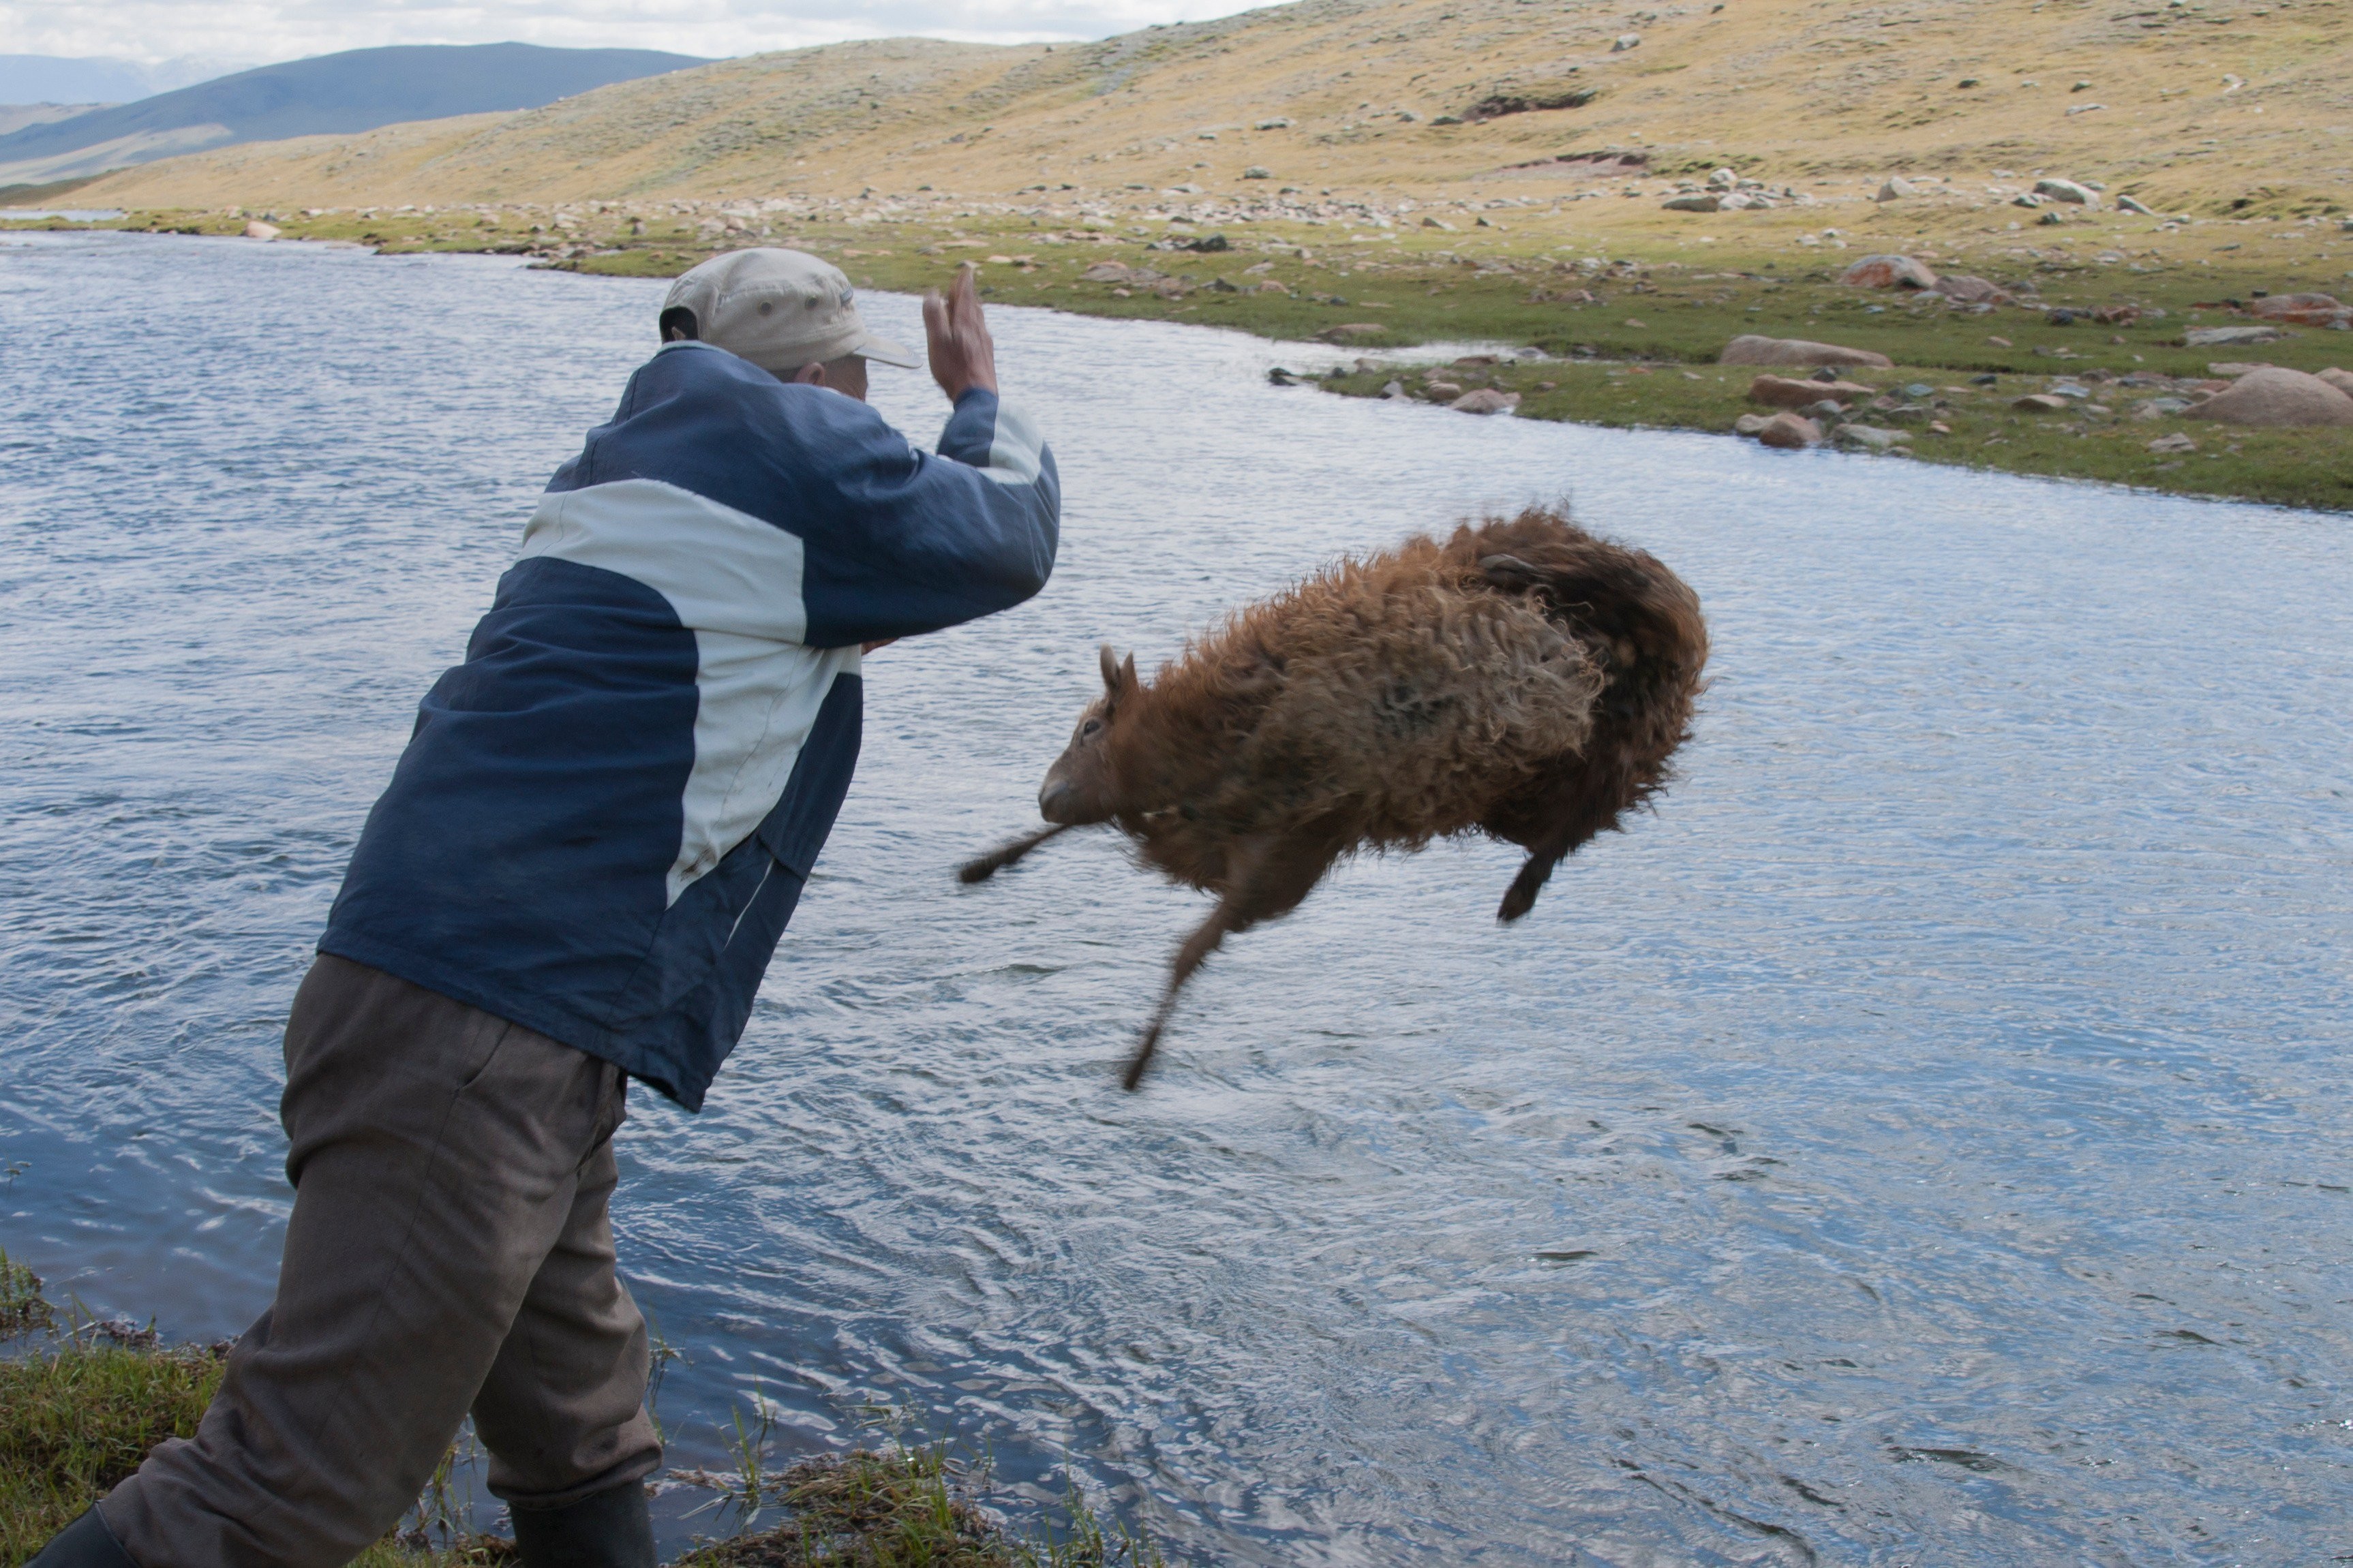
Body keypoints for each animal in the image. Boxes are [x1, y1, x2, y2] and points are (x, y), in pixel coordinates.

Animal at [955, 510, 1713, 1086]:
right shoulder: (1269, 852)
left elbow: (1183, 951)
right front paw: (988, 863)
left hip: (1608, 708)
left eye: (1088, 728)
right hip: (1529, 787)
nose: (1044, 794)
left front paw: (1139, 1062)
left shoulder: (1290, 831)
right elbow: (1167, 917)